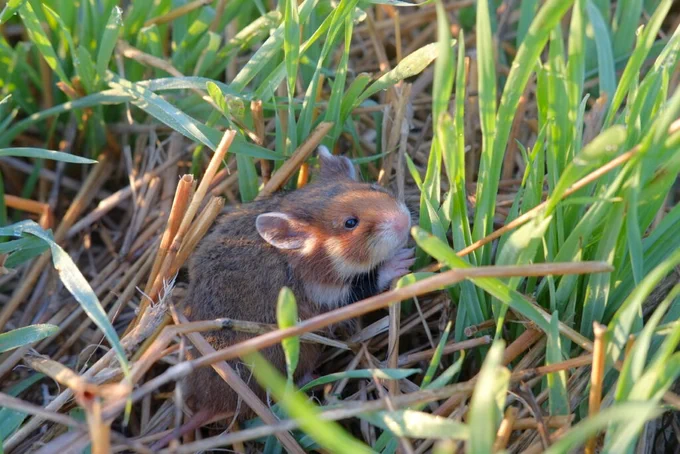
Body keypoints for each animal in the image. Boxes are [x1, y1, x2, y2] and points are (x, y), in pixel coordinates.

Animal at [157, 147, 413, 447]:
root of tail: (208, 406)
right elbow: (364, 286)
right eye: (350, 223)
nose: (405, 221)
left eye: (373, 187)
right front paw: (402, 260)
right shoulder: (328, 297)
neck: (298, 257)